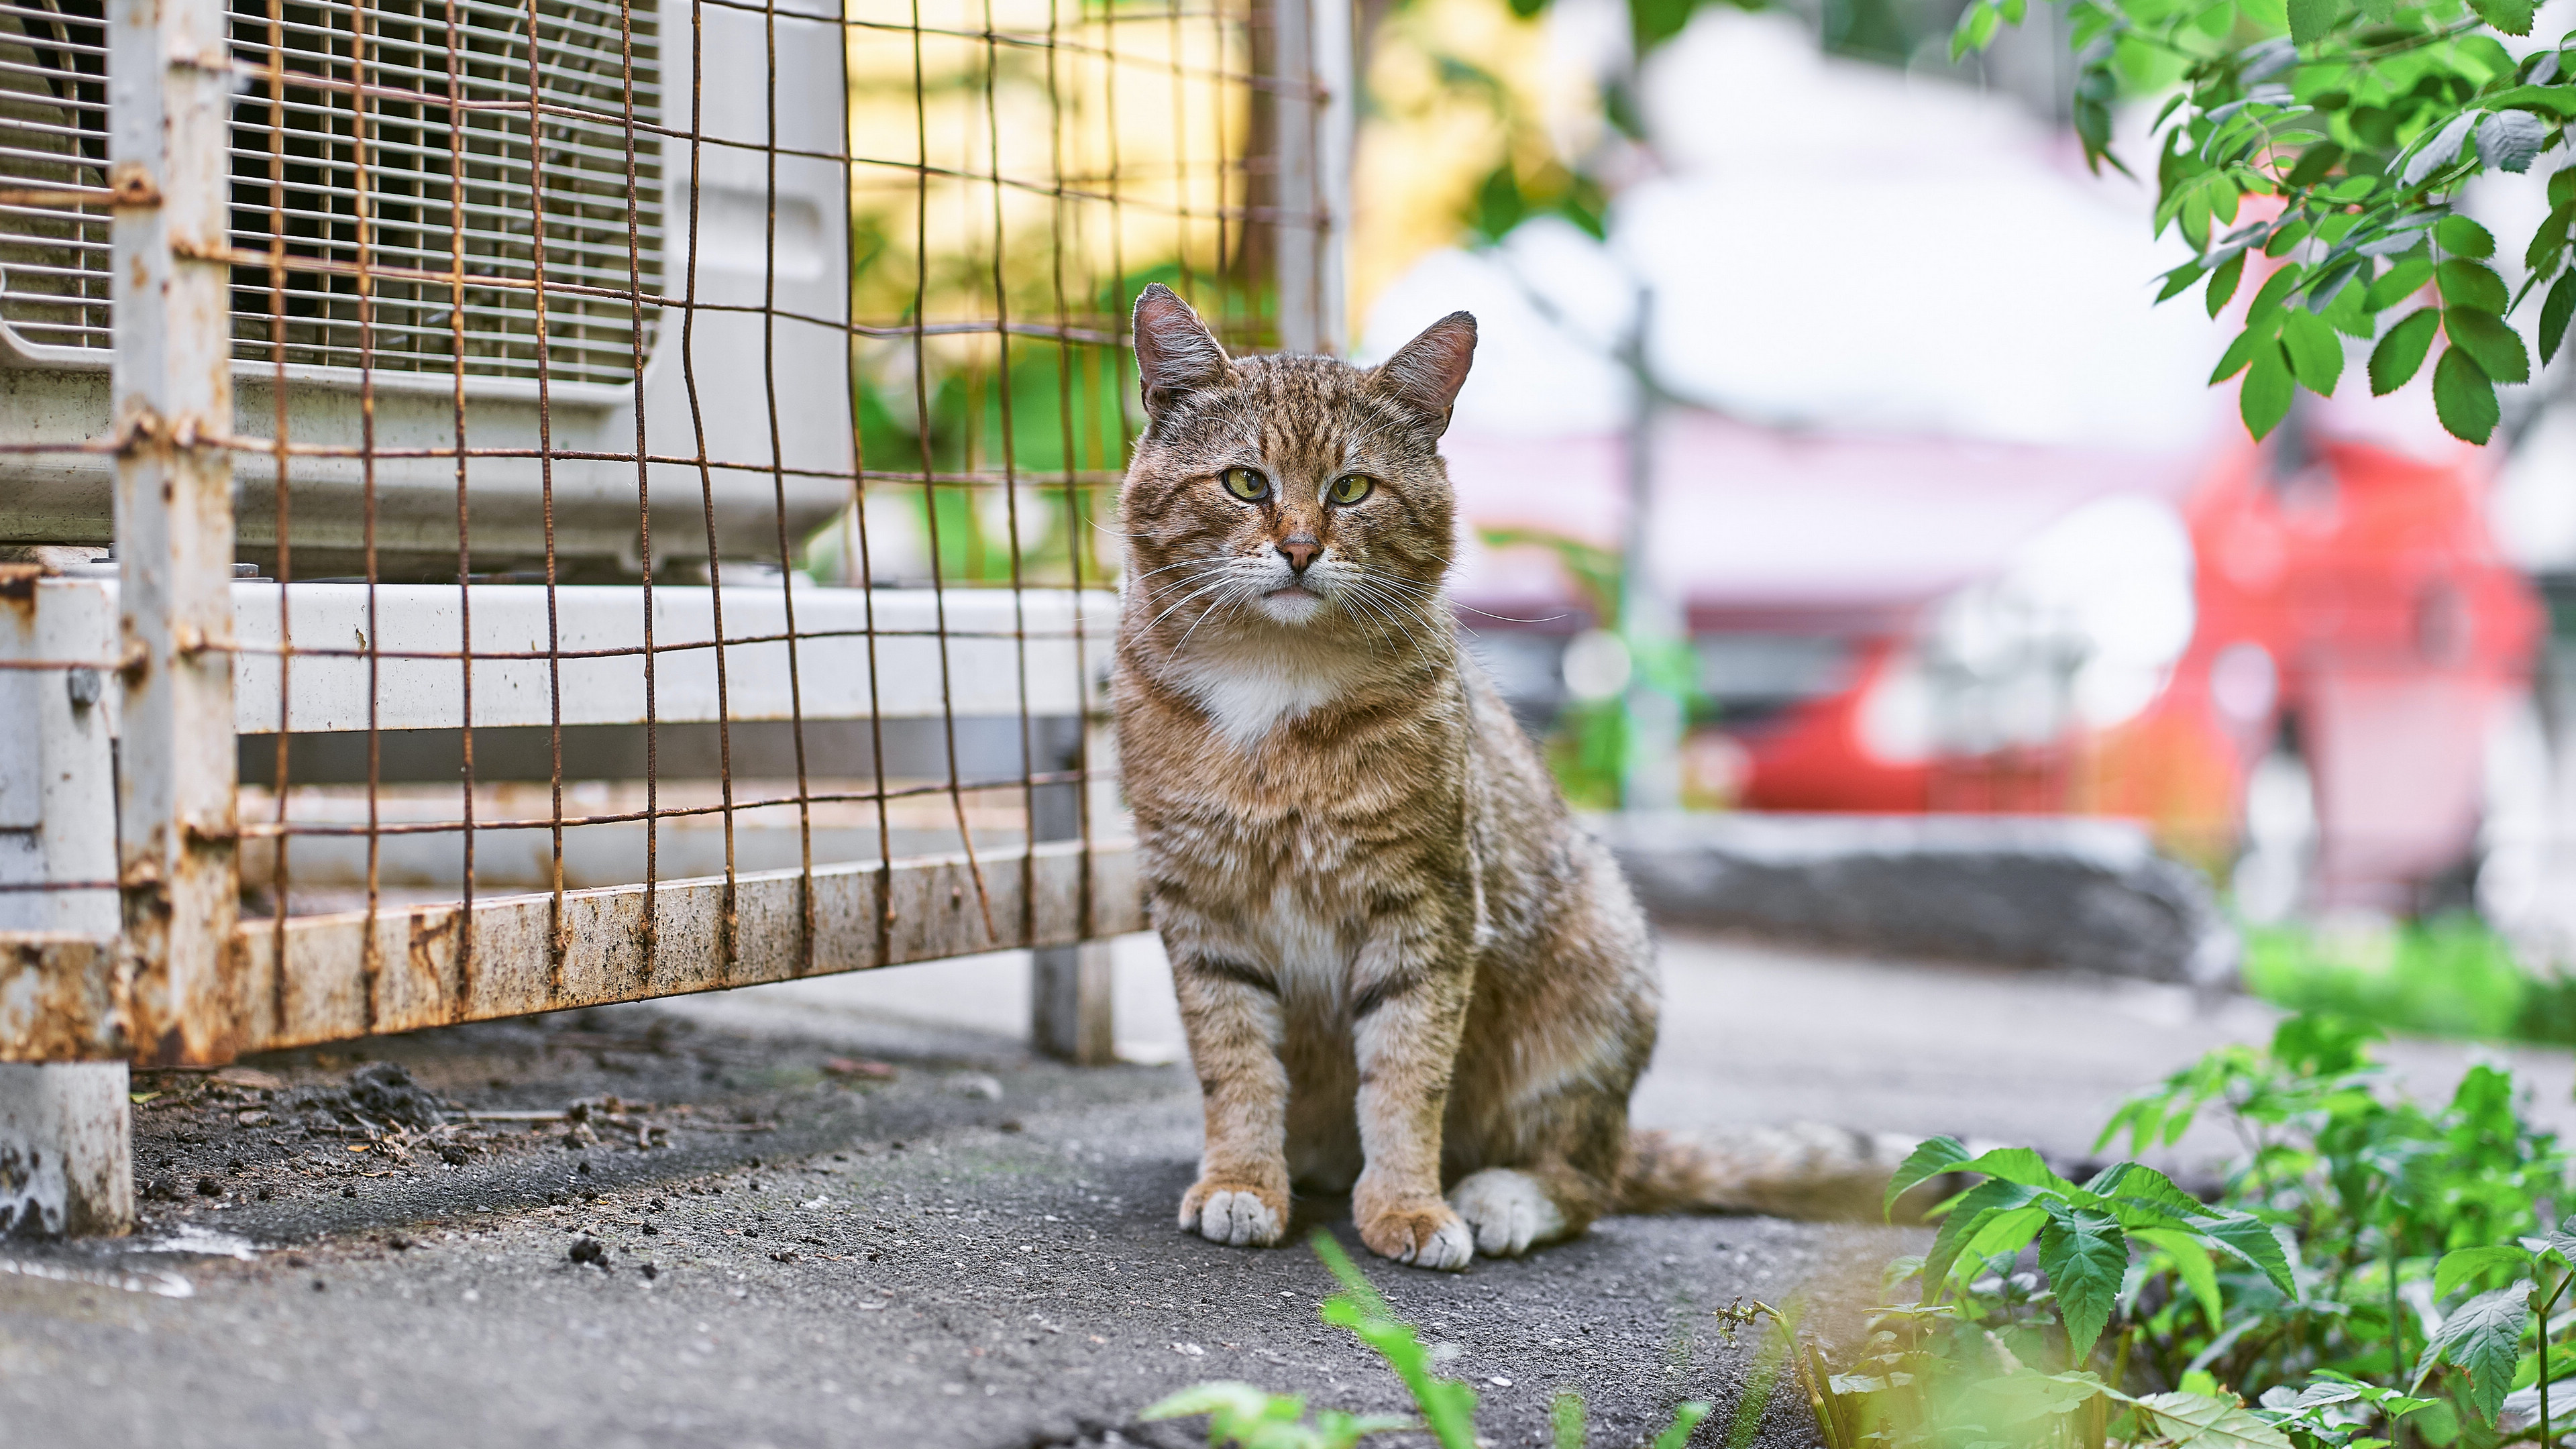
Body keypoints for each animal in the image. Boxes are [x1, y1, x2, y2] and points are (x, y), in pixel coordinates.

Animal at [1108, 284, 1916, 1263]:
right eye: (1245, 483)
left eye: (1352, 488)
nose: (1299, 549)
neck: (1274, 679)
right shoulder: (1204, 909)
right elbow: (1234, 1066)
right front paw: (1242, 1180)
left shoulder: (1429, 906)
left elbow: (1408, 1074)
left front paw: (1410, 1205)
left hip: (1597, 971)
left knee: (1587, 1179)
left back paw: (1504, 1196)